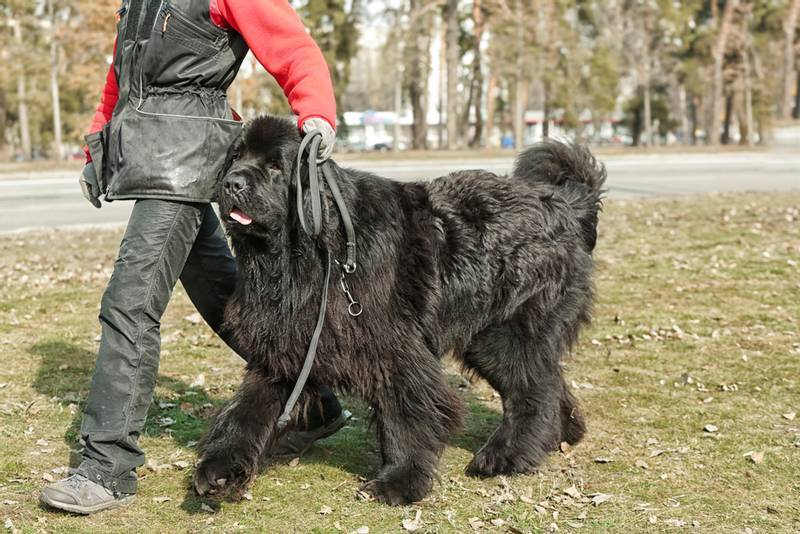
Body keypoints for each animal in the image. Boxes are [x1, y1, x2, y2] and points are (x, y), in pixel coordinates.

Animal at [194, 114, 608, 506]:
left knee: (531, 389)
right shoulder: (283, 344)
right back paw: (561, 435)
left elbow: (407, 413)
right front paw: (220, 470)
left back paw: (506, 455)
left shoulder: (393, 349)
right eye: (236, 157)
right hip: (487, 338)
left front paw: (399, 481)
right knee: (547, 379)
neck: (305, 257)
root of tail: (566, 202)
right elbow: (247, 411)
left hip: (508, 330)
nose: (232, 183)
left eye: (275, 166)